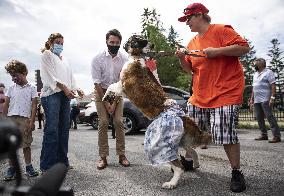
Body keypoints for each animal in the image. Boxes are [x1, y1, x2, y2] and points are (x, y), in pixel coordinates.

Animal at [102, 34, 211, 189]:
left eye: (134, 39)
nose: (124, 43)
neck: (138, 57)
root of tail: (184, 118)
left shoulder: (123, 86)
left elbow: (111, 86)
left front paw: (105, 96)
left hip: (163, 145)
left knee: (179, 167)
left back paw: (171, 183)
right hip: (183, 142)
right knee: (193, 152)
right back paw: (195, 165)